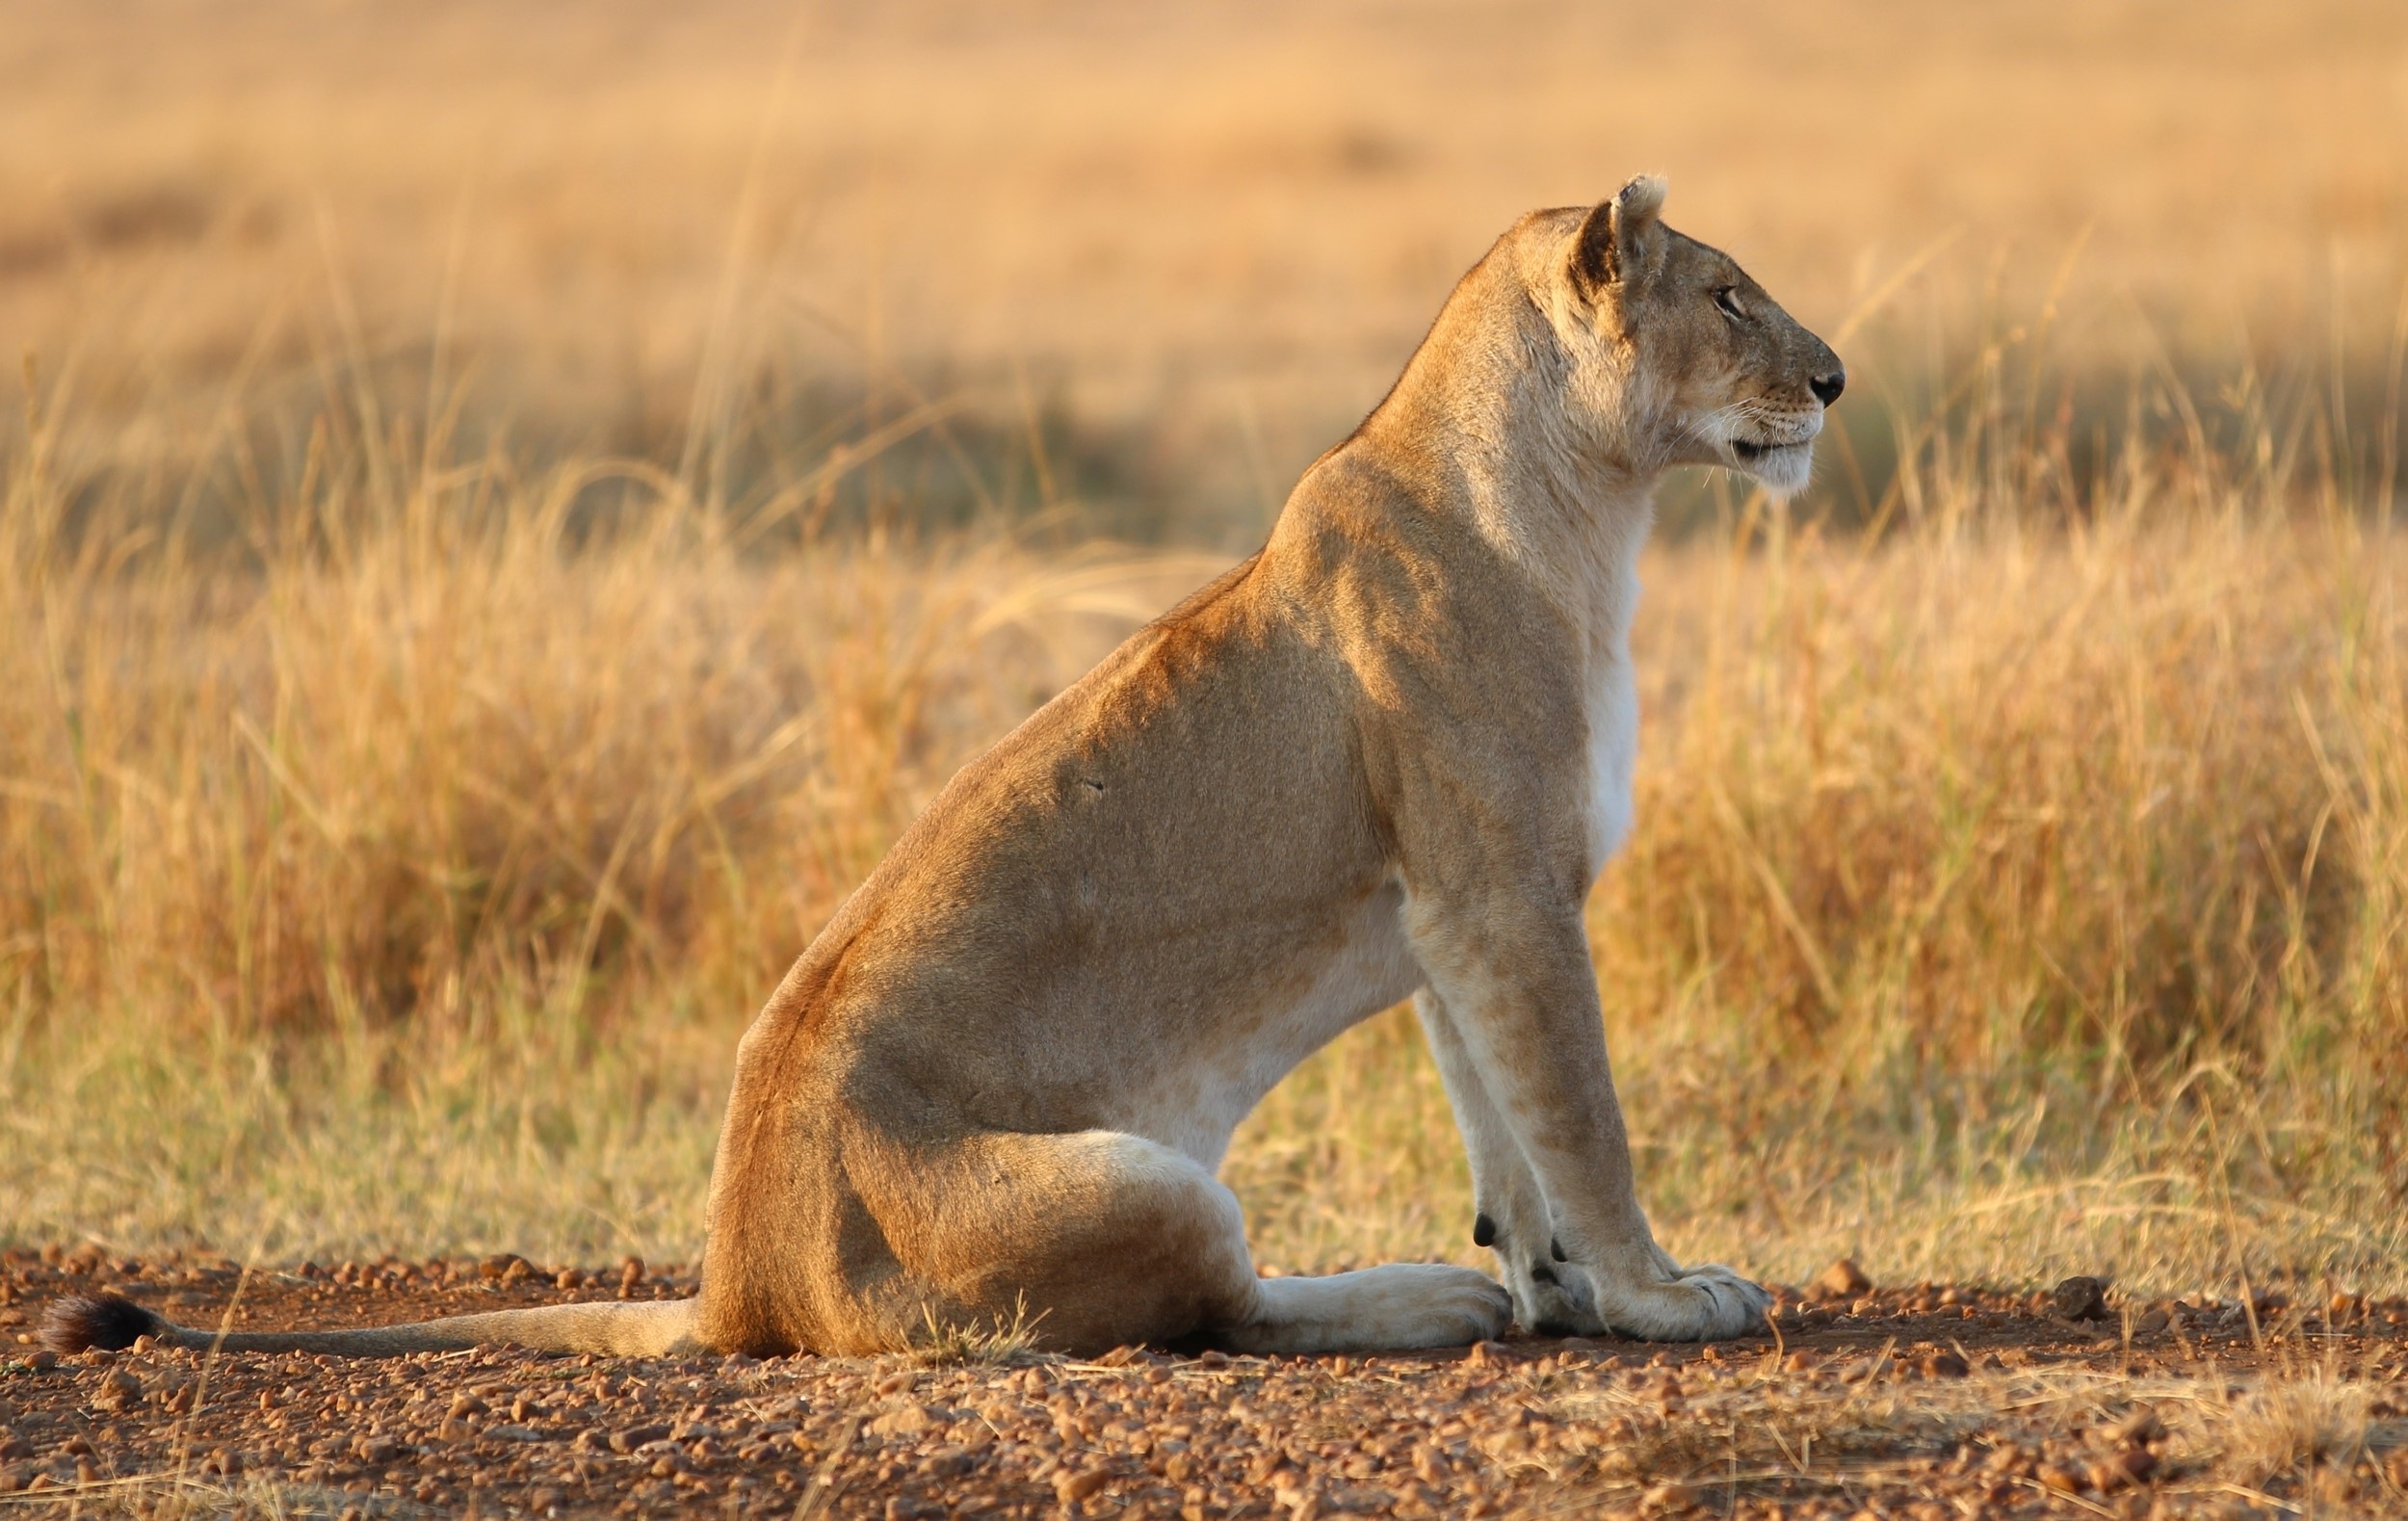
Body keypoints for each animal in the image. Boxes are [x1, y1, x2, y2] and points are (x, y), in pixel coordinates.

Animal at [50, 176, 1842, 1361]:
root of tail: (737, 1270)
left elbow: (1505, 1122)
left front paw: (1560, 1283)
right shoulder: (1505, 893)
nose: (1831, 381)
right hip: (1140, 1179)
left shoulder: (1453, 907)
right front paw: (1659, 1291)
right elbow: (1582, 1115)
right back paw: (1419, 1294)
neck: (1592, 508)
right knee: (1213, 1306)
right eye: (1730, 295)